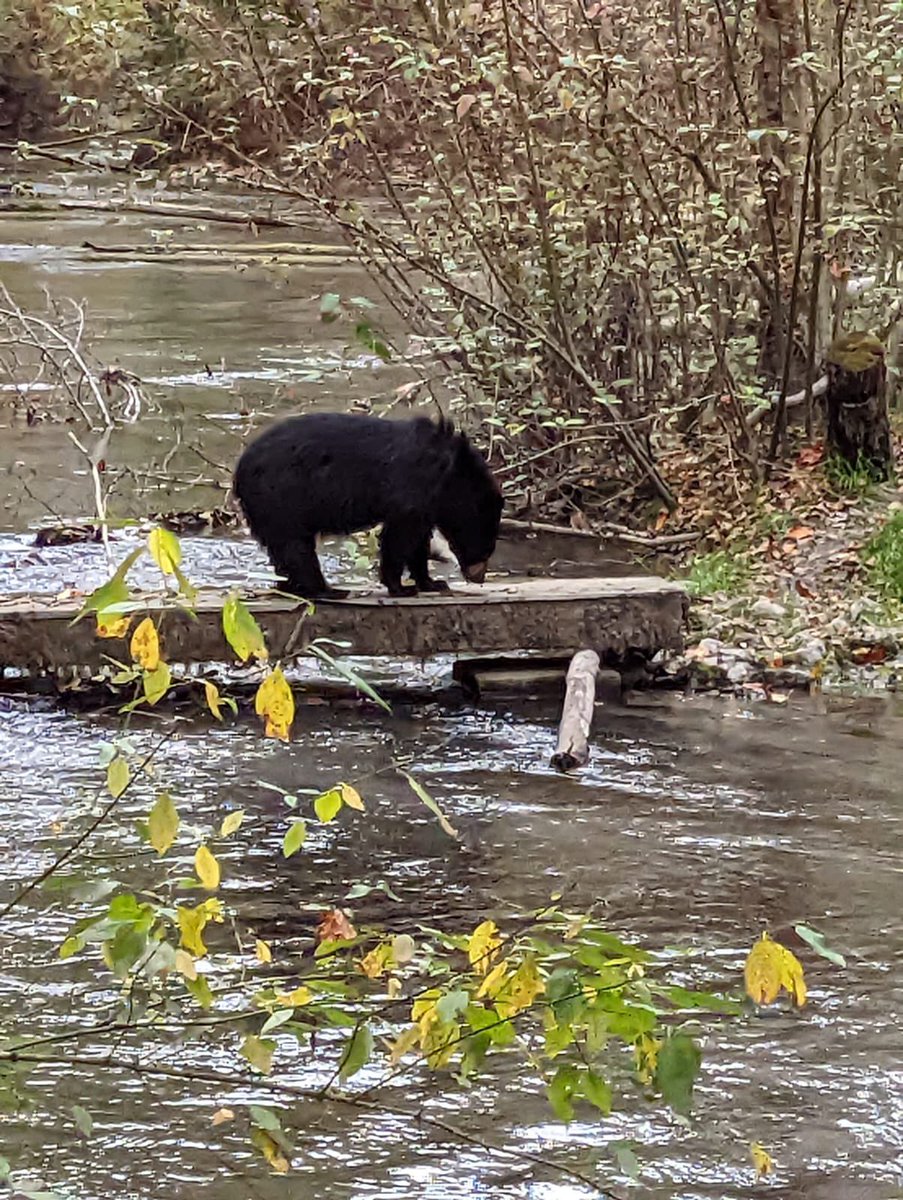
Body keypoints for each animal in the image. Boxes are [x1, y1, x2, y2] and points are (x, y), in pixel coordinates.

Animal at [233, 411, 503, 599]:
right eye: (485, 544)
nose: (479, 577)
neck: (450, 477)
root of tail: (239, 473)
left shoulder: (425, 504)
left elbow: (417, 542)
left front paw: (431, 583)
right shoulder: (411, 489)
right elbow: (400, 537)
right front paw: (400, 587)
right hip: (281, 499)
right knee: (295, 547)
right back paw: (327, 590)